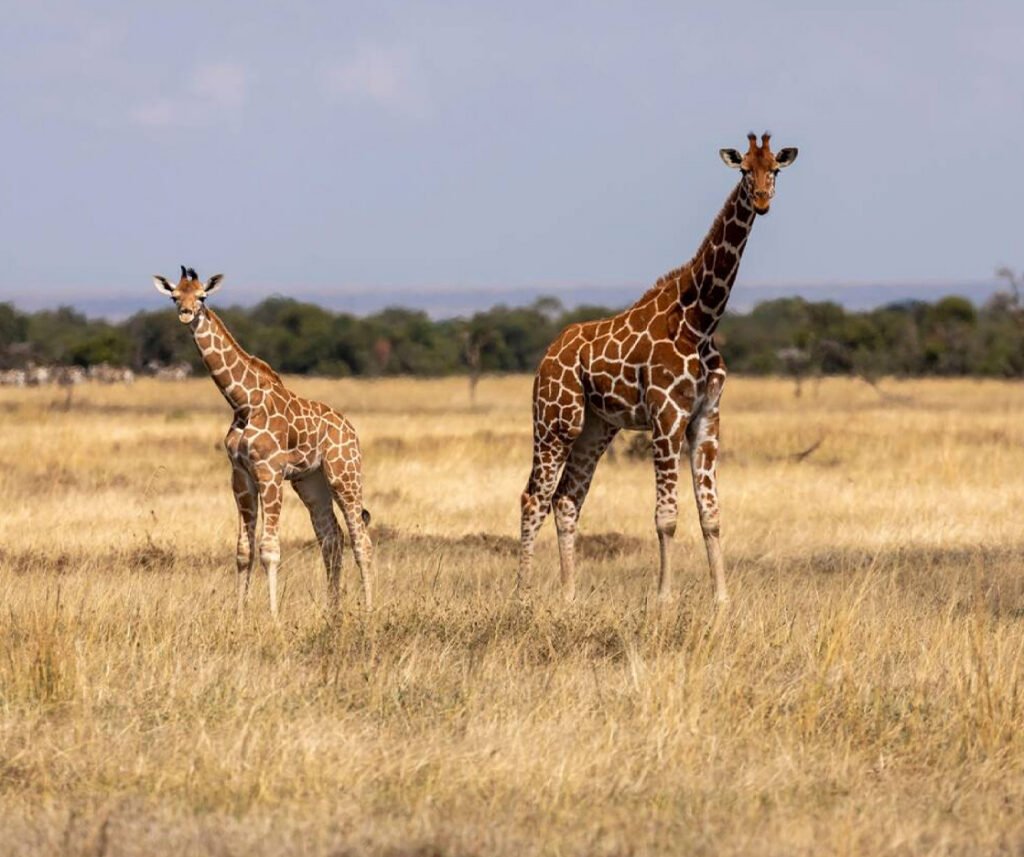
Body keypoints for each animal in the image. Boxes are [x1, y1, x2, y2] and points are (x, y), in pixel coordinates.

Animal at [152, 266, 374, 618]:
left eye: (202, 296)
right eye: (175, 296)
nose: (186, 313)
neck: (243, 402)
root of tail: (351, 430)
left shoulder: (269, 472)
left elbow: (269, 548)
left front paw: (273, 617)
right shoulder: (241, 476)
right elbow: (244, 551)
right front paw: (240, 616)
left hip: (344, 475)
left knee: (360, 539)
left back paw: (368, 610)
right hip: (311, 482)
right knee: (332, 538)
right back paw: (332, 612)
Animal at [518, 133, 798, 605]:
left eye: (774, 169)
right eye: (744, 169)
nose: (761, 200)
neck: (701, 320)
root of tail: (547, 357)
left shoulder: (706, 417)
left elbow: (711, 513)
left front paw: (722, 600)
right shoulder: (666, 416)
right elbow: (666, 516)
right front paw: (664, 599)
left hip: (597, 426)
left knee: (567, 499)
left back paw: (569, 597)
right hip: (556, 421)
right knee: (533, 498)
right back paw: (521, 596)